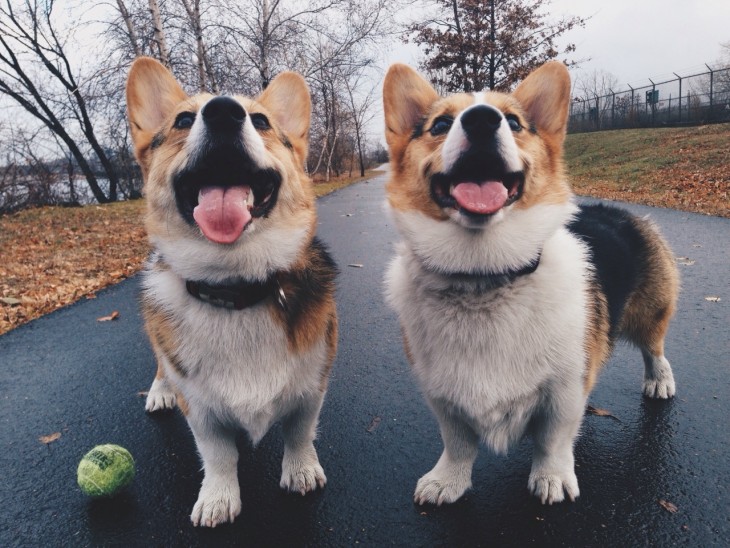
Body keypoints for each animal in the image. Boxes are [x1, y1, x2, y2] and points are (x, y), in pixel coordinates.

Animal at [126, 56, 336, 528]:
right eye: (184, 120)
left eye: (261, 121)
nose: (223, 112)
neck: (235, 288)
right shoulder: (200, 408)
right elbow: (218, 453)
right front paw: (219, 498)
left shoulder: (311, 386)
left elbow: (300, 432)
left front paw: (301, 471)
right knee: (159, 363)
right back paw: (159, 391)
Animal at [382, 63, 676, 506]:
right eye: (441, 125)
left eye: (514, 122)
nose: (482, 120)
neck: (483, 278)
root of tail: (619, 211)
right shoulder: (443, 395)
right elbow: (458, 442)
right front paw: (447, 481)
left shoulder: (564, 389)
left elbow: (553, 439)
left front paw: (551, 478)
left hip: (650, 311)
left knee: (654, 347)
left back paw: (660, 380)